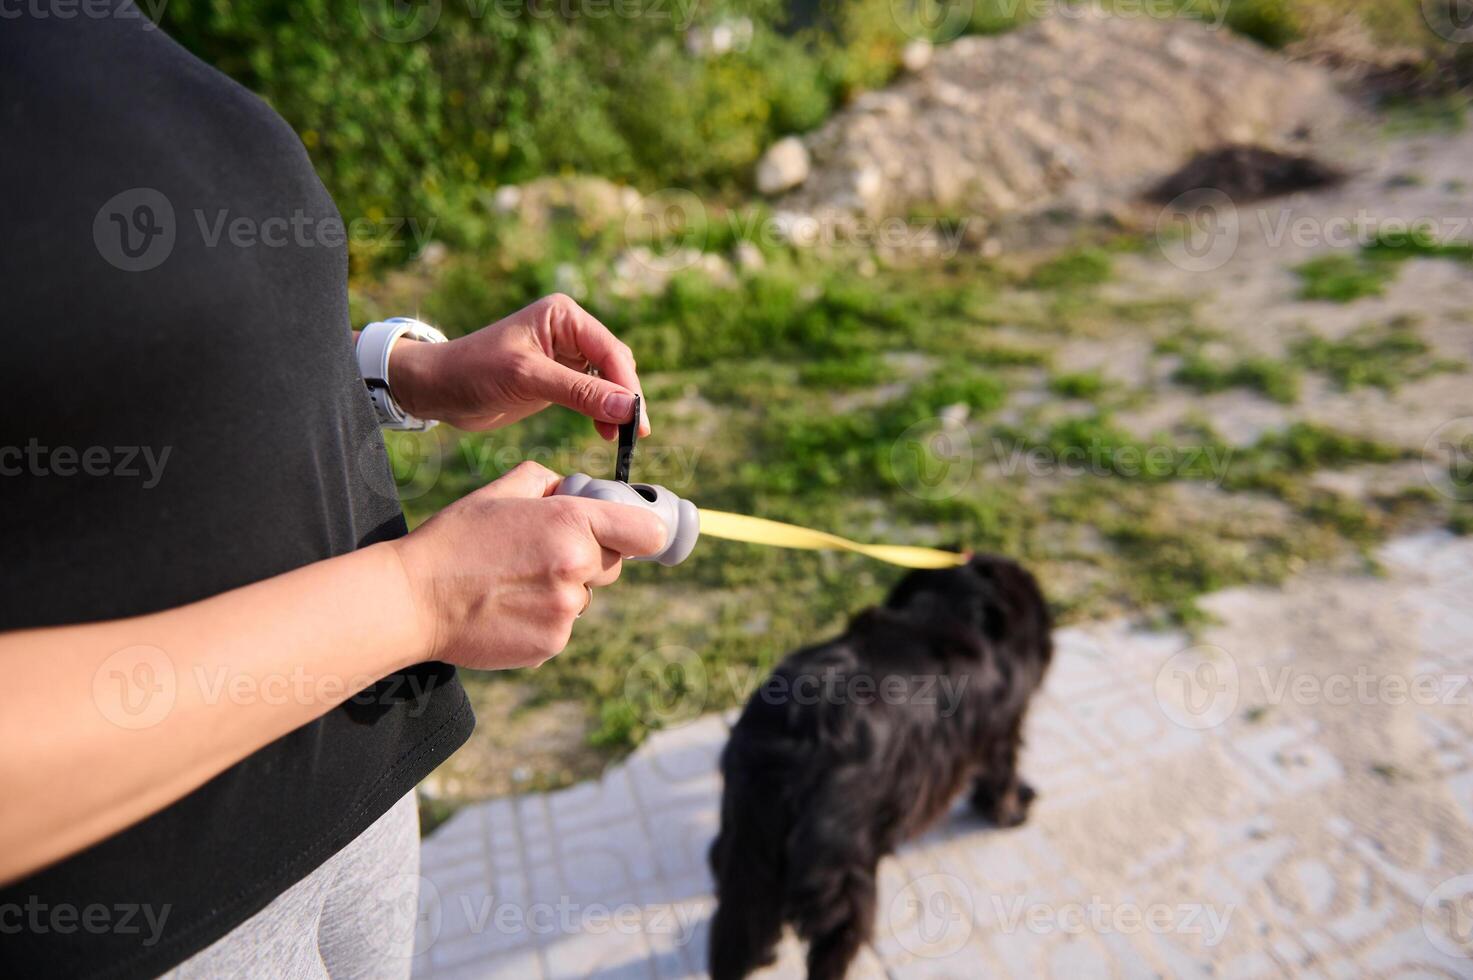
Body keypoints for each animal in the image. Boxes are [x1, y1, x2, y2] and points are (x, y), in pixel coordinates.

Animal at [707, 554, 1054, 972]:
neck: (958, 603)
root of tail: (790, 745)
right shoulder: (1000, 729)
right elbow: (1002, 773)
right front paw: (1012, 810)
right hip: (841, 868)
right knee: (834, 938)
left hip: (745, 846)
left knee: (740, 921)